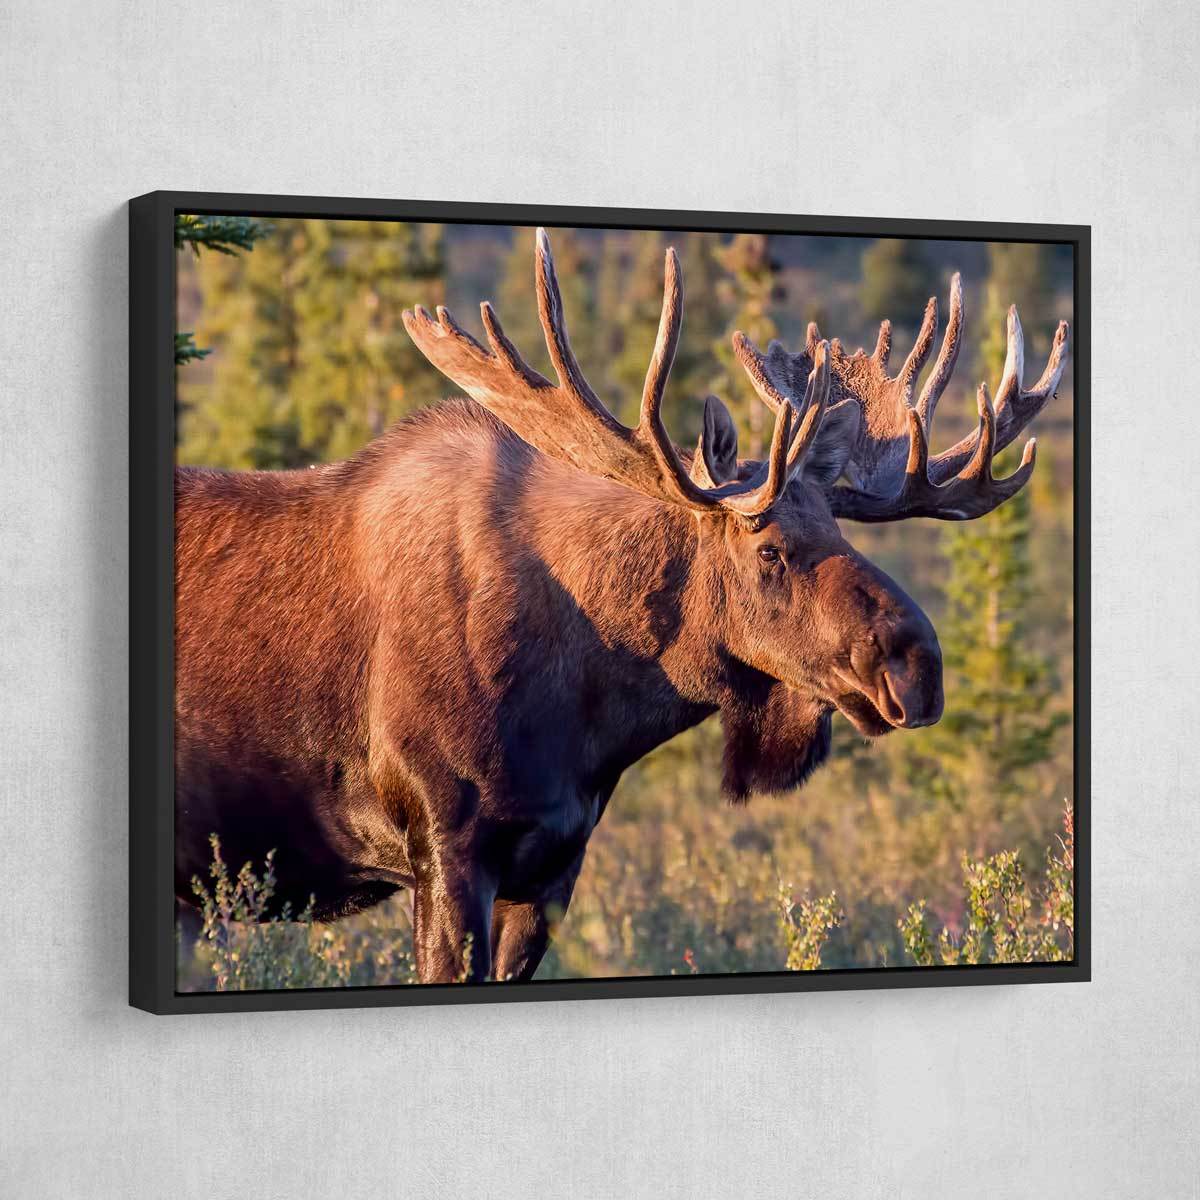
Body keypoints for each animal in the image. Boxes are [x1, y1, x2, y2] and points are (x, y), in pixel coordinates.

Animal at [174, 228, 1069, 984]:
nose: (920, 666)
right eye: (770, 550)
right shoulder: (444, 845)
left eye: (841, 532)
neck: (590, 707)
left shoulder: (553, 866)